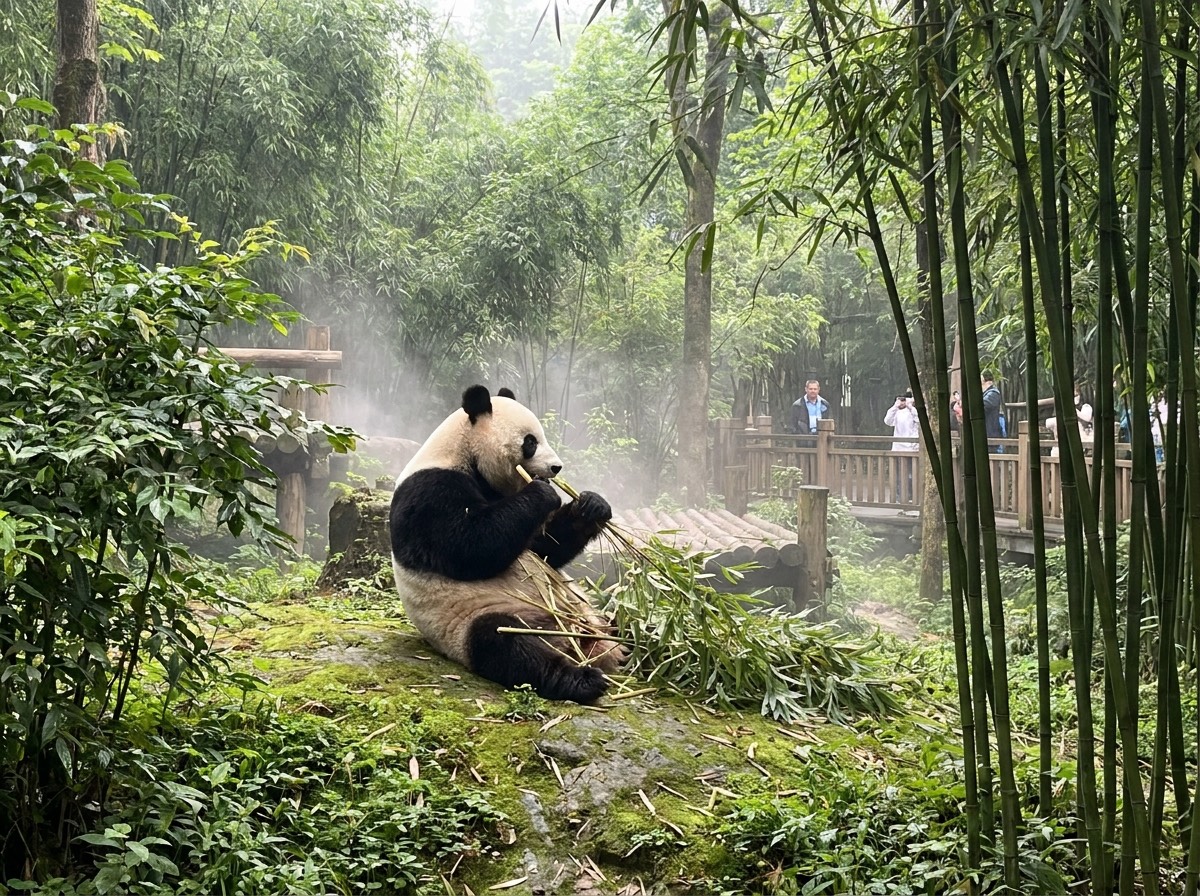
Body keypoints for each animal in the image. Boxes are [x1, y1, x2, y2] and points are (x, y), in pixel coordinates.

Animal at [390, 385, 623, 703]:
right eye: (530, 442)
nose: (556, 467)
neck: (462, 452)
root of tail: (580, 640)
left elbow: (543, 549)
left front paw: (591, 506)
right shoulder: (428, 492)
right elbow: (470, 547)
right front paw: (543, 492)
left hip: (592, 612)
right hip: (476, 619)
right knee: (508, 644)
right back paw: (583, 679)